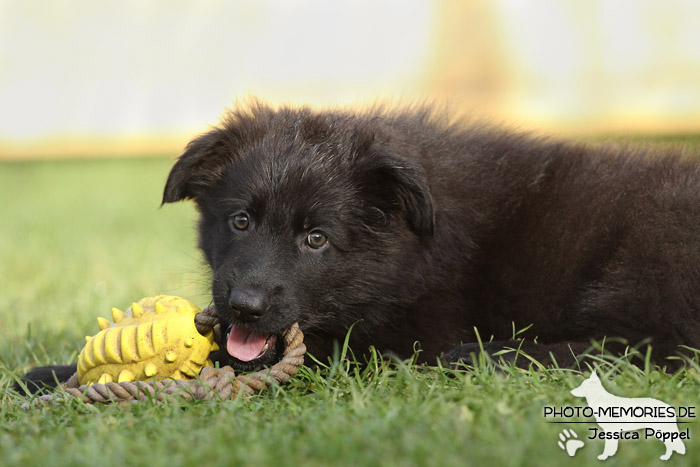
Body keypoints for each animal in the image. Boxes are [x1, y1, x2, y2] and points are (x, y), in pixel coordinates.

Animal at [16, 102, 700, 392]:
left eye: (316, 239)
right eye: (240, 221)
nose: (245, 305)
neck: (410, 253)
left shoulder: (397, 336)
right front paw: (54, 373)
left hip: (646, 256)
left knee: (645, 349)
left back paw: (492, 357)